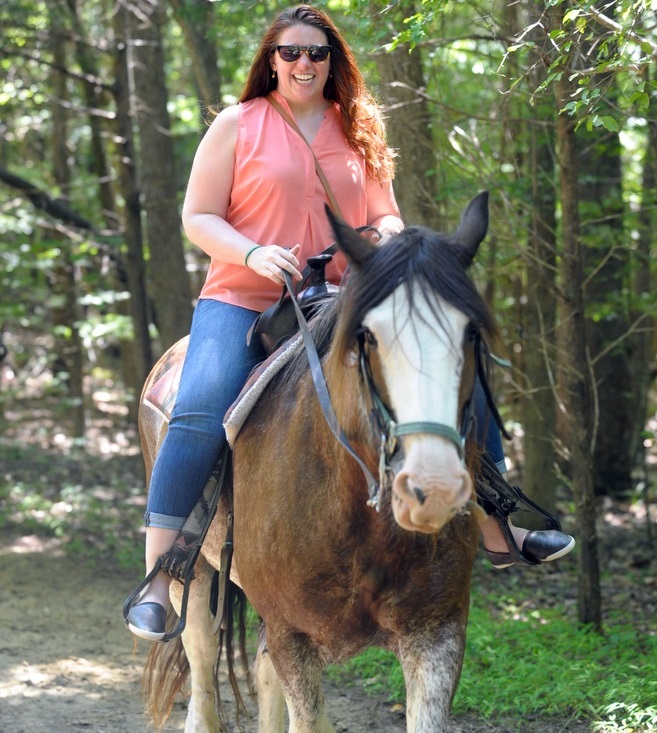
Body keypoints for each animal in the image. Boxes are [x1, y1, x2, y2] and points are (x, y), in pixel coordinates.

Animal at [138, 192, 498, 728]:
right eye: (368, 337)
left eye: (471, 334)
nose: (432, 489)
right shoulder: (294, 637)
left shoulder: (438, 634)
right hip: (195, 577)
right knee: (201, 667)